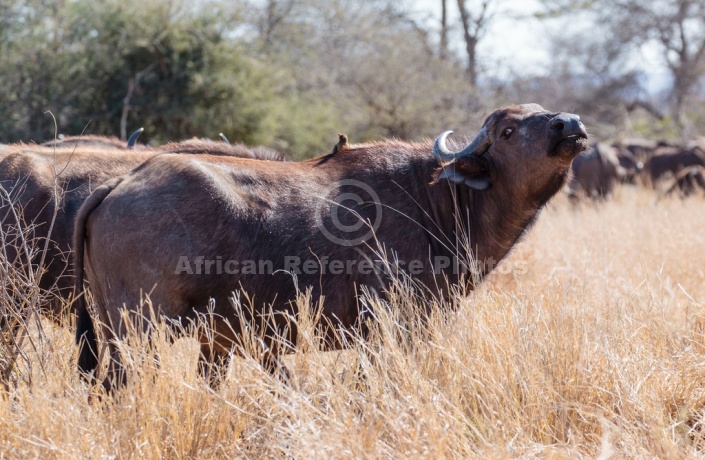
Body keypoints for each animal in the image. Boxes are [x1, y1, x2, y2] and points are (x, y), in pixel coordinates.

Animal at [71, 102, 588, 390]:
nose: (569, 124)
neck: (437, 199)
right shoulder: (393, 329)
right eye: (508, 131)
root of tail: (120, 184)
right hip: (138, 332)